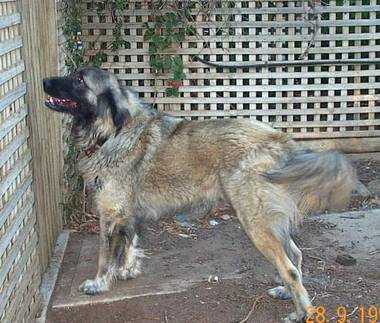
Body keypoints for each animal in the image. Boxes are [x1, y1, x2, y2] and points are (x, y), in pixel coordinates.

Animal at [42, 67, 356, 322]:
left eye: (79, 80)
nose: (44, 81)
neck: (113, 131)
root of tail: (279, 139)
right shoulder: (128, 215)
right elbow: (130, 244)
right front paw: (128, 270)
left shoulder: (110, 214)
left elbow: (104, 257)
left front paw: (98, 283)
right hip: (267, 220)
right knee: (296, 255)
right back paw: (285, 291)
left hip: (254, 221)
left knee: (290, 267)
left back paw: (302, 312)